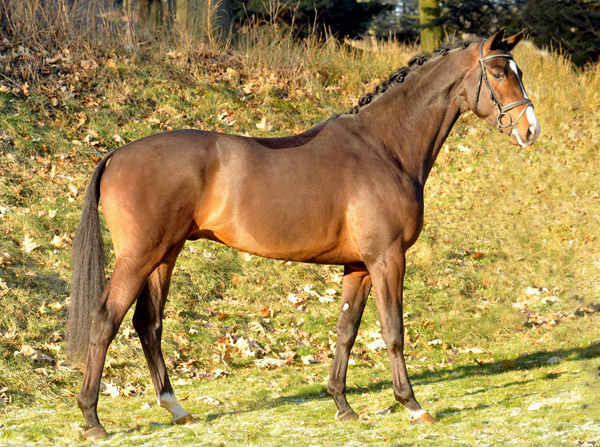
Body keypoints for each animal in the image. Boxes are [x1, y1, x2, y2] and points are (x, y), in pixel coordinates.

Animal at [67, 28, 540, 440]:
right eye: (500, 73)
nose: (530, 130)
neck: (383, 148)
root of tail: (115, 155)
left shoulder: (358, 267)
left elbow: (347, 330)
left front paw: (342, 405)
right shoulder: (387, 258)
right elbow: (393, 331)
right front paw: (412, 405)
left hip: (165, 255)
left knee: (148, 323)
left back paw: (175, 408)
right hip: (139, 257)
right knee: (105, 320)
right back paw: (92, 419)